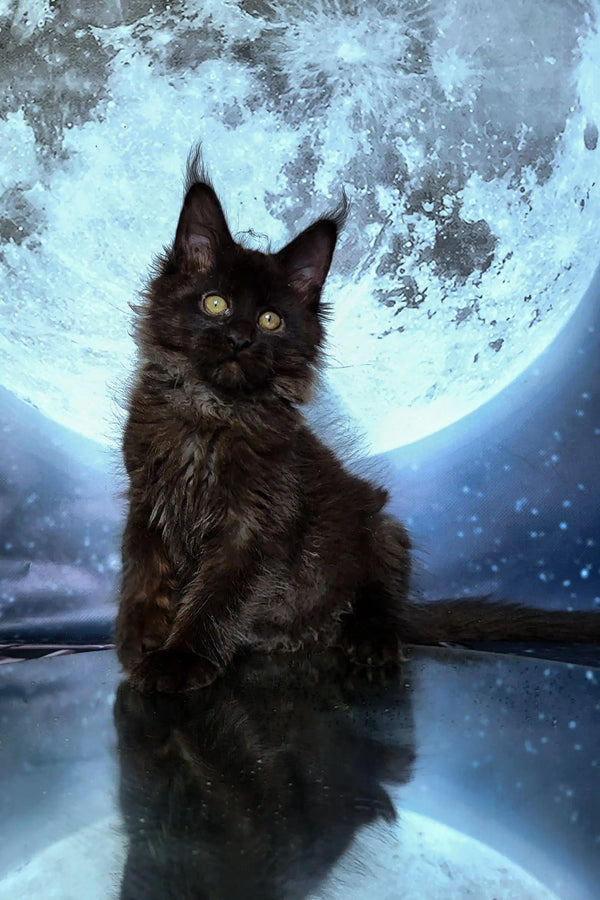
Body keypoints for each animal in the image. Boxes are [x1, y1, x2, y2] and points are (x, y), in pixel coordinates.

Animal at [115, 151, 596, 692]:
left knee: (381, 601)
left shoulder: (254, 525)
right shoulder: (146, 499)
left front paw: (181, 658)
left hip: (382, 528)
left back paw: (365, 638)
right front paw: (142, 641)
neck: (210, 413)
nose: (240, 339)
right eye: (214, 303)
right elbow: (144, 575)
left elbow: (216, 598)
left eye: (269, 320)